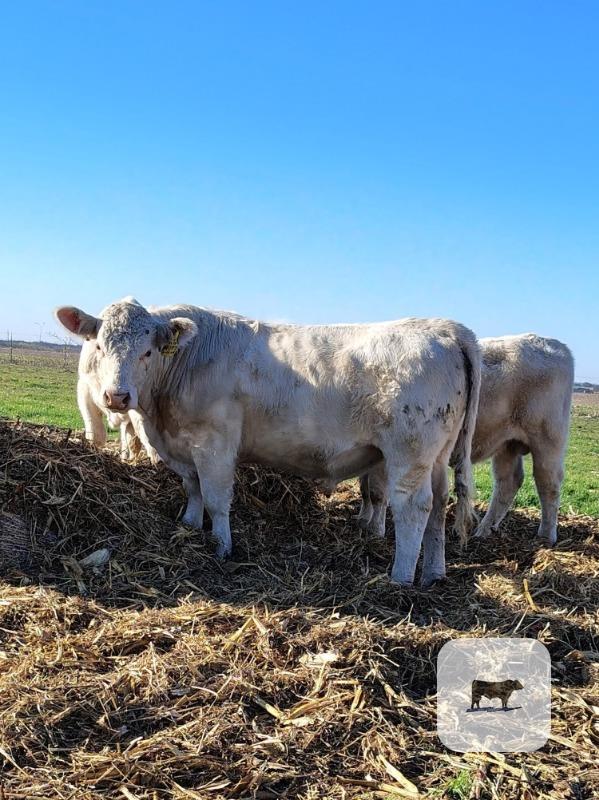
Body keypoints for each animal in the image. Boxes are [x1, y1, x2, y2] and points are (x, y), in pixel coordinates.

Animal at [55, 297, 481, 587]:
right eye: (99, 347)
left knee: (413, 509)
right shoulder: (182, 445)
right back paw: (434, 573)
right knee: (439, 506)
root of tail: (445, 328)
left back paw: (401, 577)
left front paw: (222, 546)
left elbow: (216, 497)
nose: (116, 397)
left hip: (409, 454)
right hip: (437, 457)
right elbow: (192, 488)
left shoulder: (215, 443)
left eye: (146, 352)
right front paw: (189, 526)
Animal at [357, 334, 573, 546]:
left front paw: (375, 530)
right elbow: (364, 488)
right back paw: (485, 529)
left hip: (548, 439)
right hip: (507, 444)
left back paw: (545, 536)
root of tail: (554, 343)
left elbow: (376, 492)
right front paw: (363, 517)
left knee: (548, 483)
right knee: (509, 481)